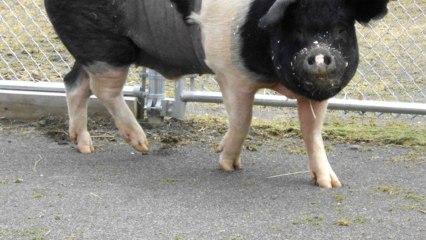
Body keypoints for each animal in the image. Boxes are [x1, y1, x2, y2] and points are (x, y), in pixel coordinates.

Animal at [45, 0, 390, 188]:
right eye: (297, 29)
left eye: (341, 29)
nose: (319, 55)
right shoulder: (230, 72)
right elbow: (243, 118)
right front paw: (228, 163)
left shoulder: (315, 93)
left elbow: (312, 132)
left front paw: (330, 184)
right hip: (103, 44)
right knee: (103, 89)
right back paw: (142, 145)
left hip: (92, 53)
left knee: (74, 83)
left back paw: (84, 146)